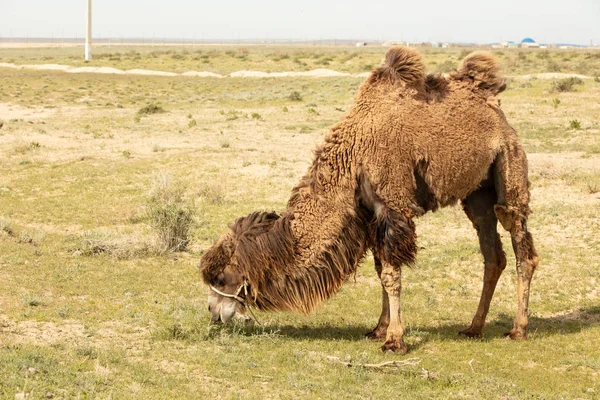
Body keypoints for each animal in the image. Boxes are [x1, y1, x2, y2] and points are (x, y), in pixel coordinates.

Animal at [198, 47, 540, 354]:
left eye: (221, 277)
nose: (213, 313)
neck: (352, 157)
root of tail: (495, 107)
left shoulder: (393, 207)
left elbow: (391, 274)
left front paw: (394, 340)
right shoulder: (371, 215)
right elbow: (380, 272)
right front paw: (378, 329)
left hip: (509, 167)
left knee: (521, 244)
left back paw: (518, 329)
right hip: (476, 193)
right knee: (492, 253)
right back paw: (473, 327)